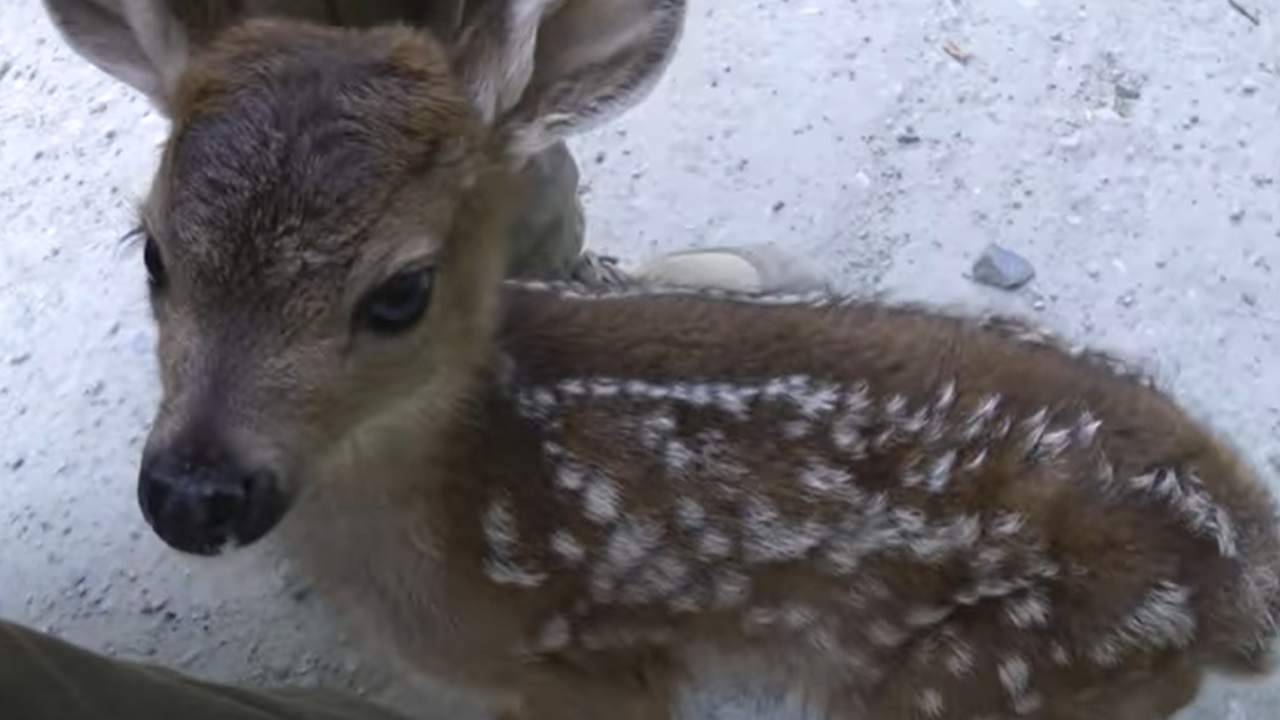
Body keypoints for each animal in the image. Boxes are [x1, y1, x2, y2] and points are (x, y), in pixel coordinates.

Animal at [112, 1, 1280, 717]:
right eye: (152, 249)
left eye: (400, 291)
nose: (194, 492)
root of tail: (1243, 567)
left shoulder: (590, 664)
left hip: (984, 674)